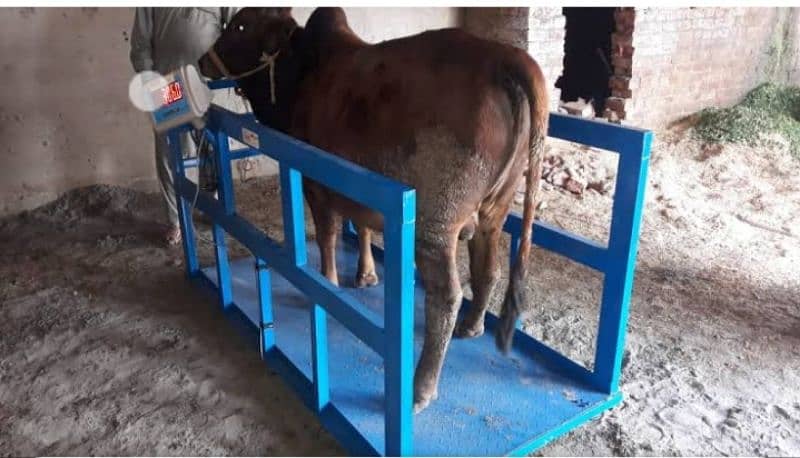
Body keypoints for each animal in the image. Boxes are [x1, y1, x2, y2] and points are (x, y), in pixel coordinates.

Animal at [200, 7, 552, 414]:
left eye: (239, 25)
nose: (203, 59)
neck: (302, 71)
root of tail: (506, 58)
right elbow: (363, 226)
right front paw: (366, 274)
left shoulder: (316, 185)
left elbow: (327, 236)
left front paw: (329, 282)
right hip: (493, 212)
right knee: (488, 271)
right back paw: (473, 325)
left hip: (435, 227)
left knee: (446, 296)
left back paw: (421, 388)